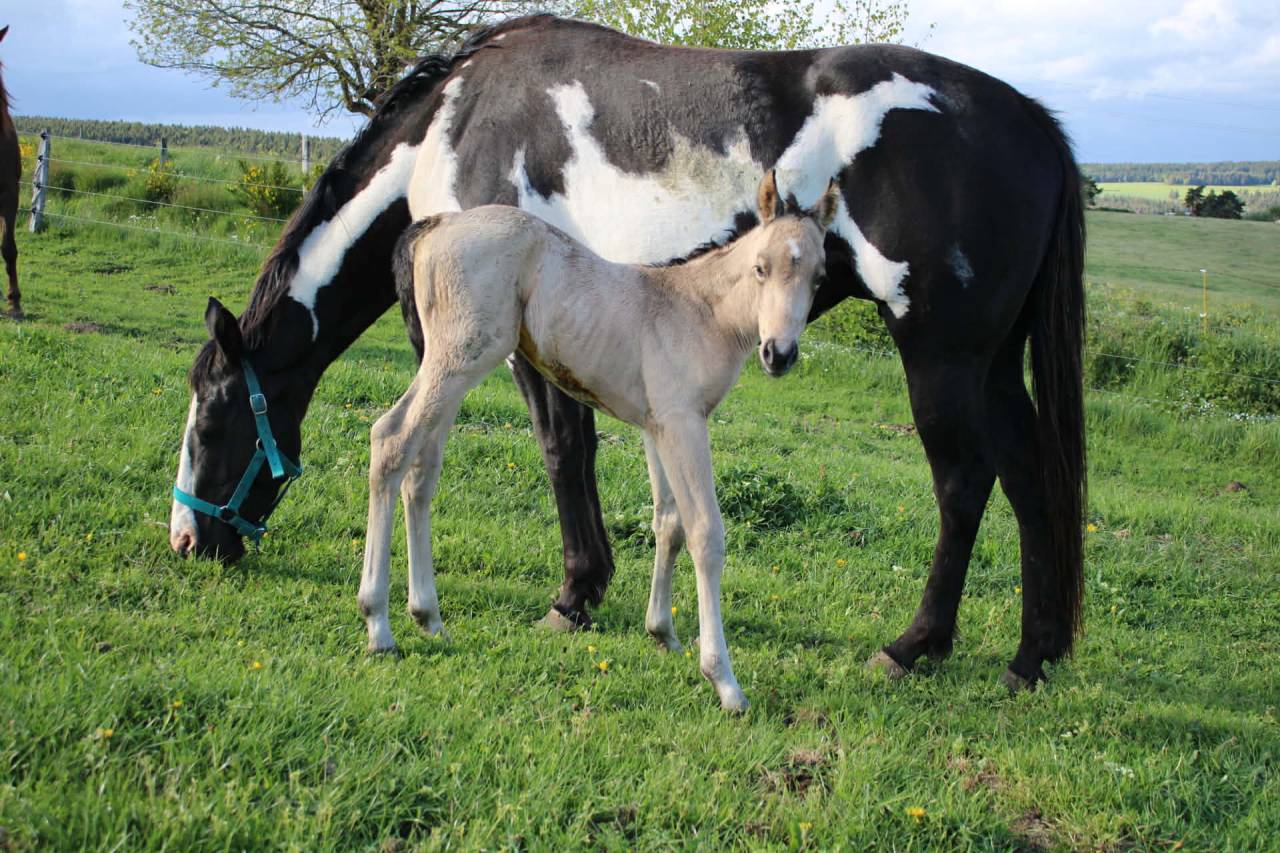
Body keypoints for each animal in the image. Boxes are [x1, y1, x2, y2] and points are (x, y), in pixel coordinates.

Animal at [171, 15, 1085, 692]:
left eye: (212, 422)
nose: (188, 542)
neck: (455, 123)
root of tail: (1033, 124)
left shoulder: (514, 350)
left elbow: (559, 450)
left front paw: (574, 594)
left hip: (942, 359)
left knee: (963, 486)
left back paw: (912, 644)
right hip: (992, 367)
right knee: (1030, 478)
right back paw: (1030, 657)